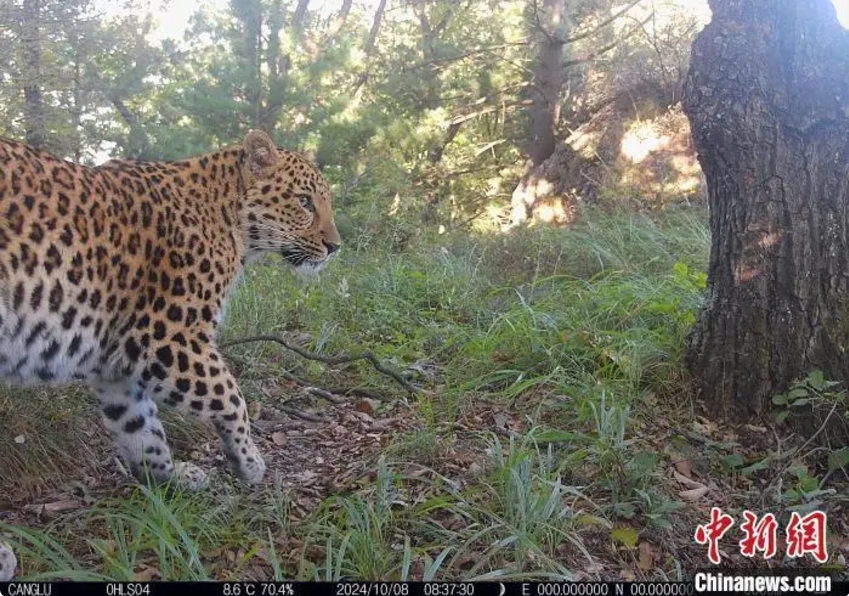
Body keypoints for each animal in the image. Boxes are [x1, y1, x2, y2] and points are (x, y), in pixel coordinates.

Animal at [0, 130, 338, 488]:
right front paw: (249, 460)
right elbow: (230, 394)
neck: (230, 220)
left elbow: (140, 425)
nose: (335, 247)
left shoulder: (115, 358)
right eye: (304, 201)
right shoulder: (167, 336)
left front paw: (170, 477)